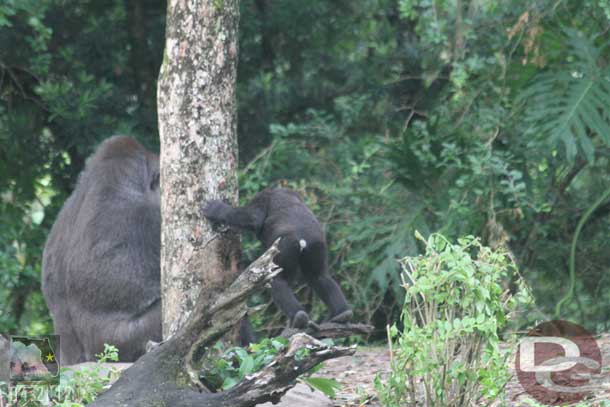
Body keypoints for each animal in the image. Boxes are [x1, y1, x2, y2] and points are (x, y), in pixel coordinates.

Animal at [202, 190, 350, 330]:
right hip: (317, 245)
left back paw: (298, 317)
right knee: (319, 277)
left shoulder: (262, 198)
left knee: (278, 280)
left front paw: (216, 209)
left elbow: (251, 218)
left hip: (285, 245)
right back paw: (342, 313)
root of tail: (303, 241)